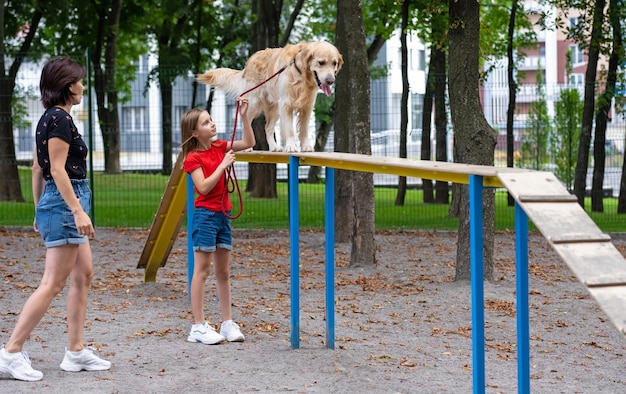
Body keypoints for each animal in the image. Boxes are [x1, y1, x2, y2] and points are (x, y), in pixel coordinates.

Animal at [197, 41, 342, 152]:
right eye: (321, 62)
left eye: (334, 63)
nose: (331, 80)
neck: (300, 74)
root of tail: (249, 62)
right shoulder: (286, 104)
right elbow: (289, 129)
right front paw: (291, 147)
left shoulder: (307, 106)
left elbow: (304, 129)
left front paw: (306, 146)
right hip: (253, 103)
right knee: (245, 123)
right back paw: (247, 147)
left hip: (275, 108)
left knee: (268, 128)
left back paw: (274, 147)